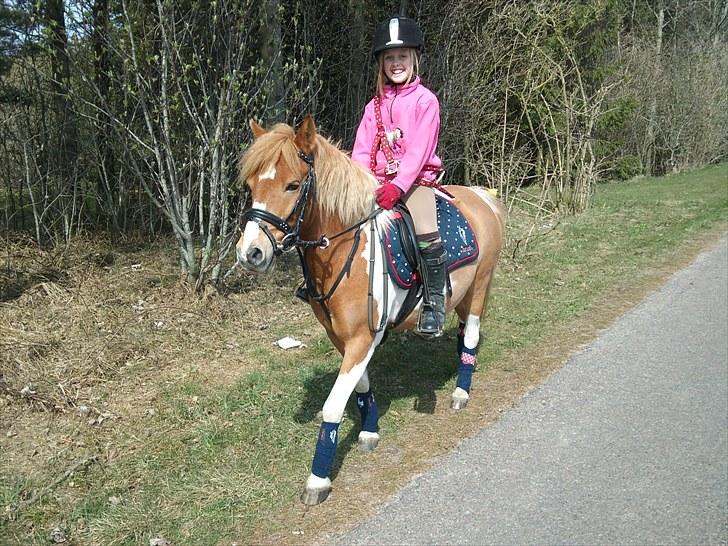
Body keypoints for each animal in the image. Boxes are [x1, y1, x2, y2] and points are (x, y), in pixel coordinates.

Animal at [236, 117, 504, 504]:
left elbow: (333, 404)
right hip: (464, 293)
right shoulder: (344, 338)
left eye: (293, 185)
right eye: (251, 185)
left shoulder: (363, 338)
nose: (250, 253)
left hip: (481, 286)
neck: (344, 252)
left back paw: (461, 393)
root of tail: (481, 197)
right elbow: (360, 387)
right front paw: (369, 431)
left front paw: (318, 479)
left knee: (470, 335)